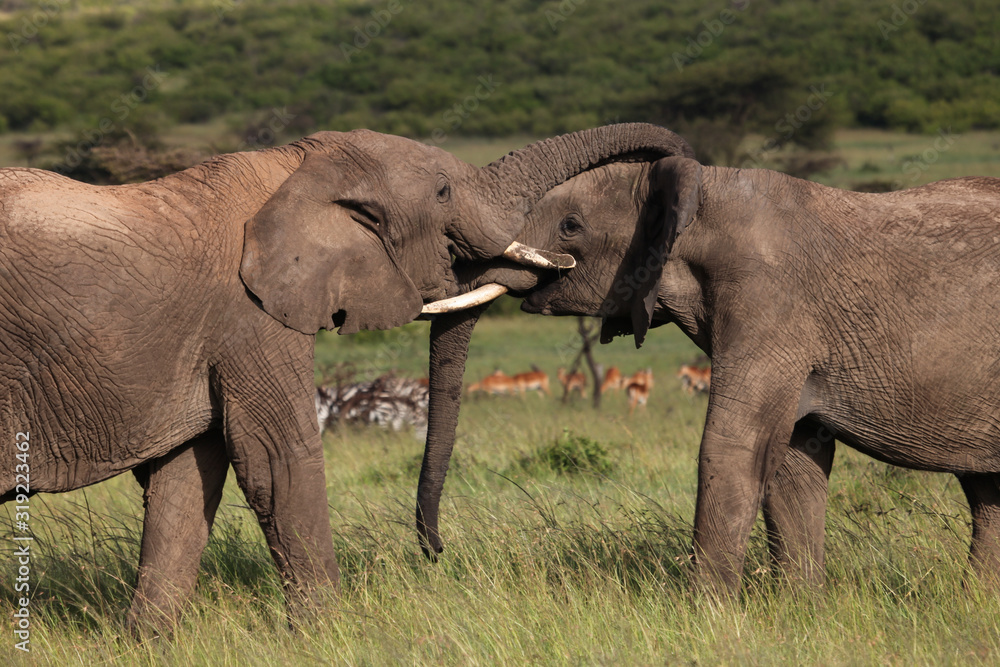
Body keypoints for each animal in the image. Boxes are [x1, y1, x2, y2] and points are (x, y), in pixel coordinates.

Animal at [0, 123, 694, 628]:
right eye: (442, 192)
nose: (435, 550)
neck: (295, 163)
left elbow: (187, 477)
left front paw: (145, 642)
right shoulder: (250, 315)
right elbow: (276, 458)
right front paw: (325, 637)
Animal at [418, 149, 1000, 594]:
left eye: (570, 225)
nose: (436, 551)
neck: (702, 194)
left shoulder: (771, 302)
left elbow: (733, 447)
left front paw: (708, 616)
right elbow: (794, 460)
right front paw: (801, 610)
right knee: (987, 495)